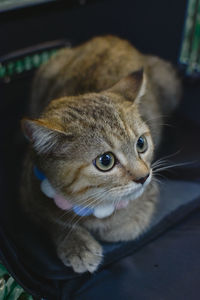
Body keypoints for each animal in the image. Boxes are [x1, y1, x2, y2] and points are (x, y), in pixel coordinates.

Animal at [20, 36, 181, 274]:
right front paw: (76, 243)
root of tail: (110, 37)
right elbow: (52, 218)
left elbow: (123, 227)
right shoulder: (28, 190)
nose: (144, 176)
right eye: (106, 161)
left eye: (141, 144)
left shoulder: (146, 199)